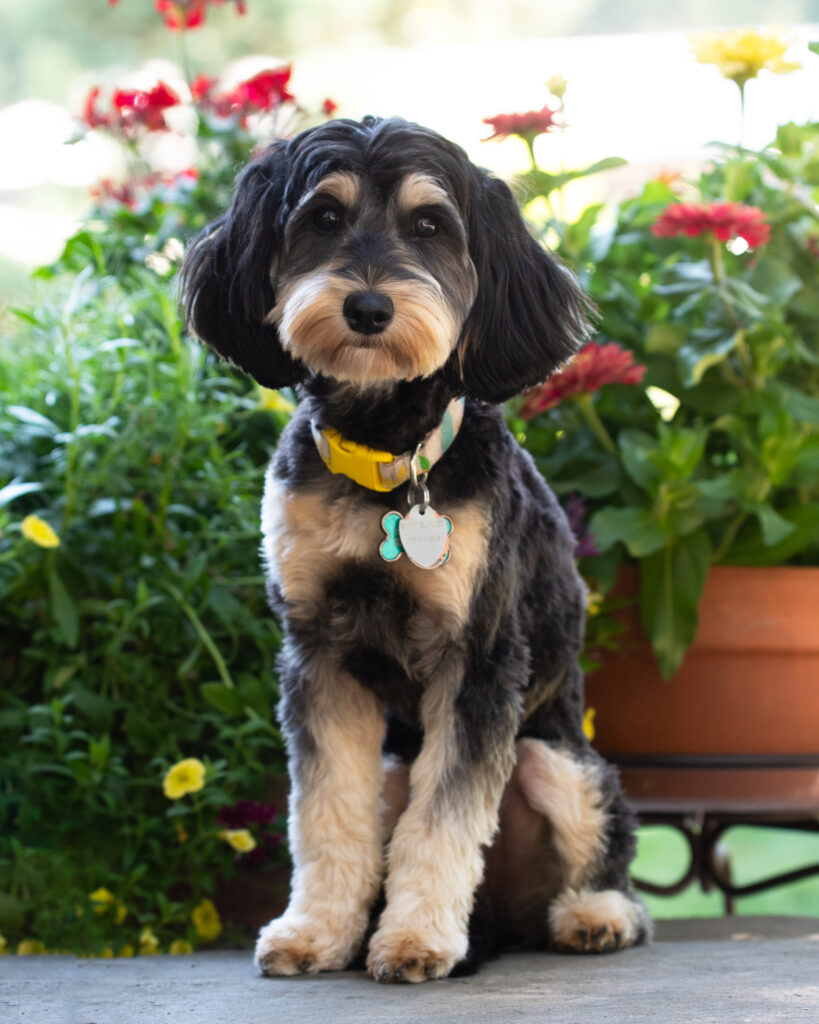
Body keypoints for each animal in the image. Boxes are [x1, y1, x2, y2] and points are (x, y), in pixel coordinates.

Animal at [182, 114, 651, 983]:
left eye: (429, 226)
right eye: (323, 217)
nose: (367, 306)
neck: (385, 456)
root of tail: (503, 915)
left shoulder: (479, 657)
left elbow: (444, 820)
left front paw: (415, 939)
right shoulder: (317, 654)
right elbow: (326, 811)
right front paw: (316, 931)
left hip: (554, 758)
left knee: (606, 861)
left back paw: (590, 916)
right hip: (396, 764)